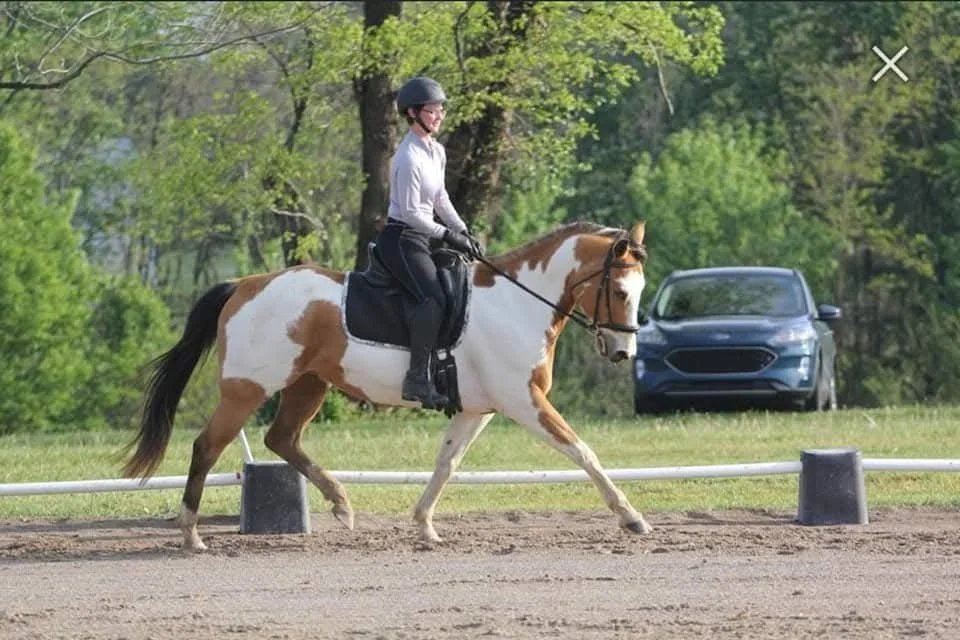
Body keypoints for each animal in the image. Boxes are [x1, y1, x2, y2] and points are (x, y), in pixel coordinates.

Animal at [123, 220, 651, 551]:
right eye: (620, 290)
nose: (622, 353)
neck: (518, 303)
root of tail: (245, 284)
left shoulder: (476, 409)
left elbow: (446, 463)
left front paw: (424, 526)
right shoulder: (524, 401)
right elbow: (582, 451)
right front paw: (630, 517)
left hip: (308, 385)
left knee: (282, 438)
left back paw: (341, 504)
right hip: (246, 388)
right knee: (208, 446)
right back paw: (191, 534)